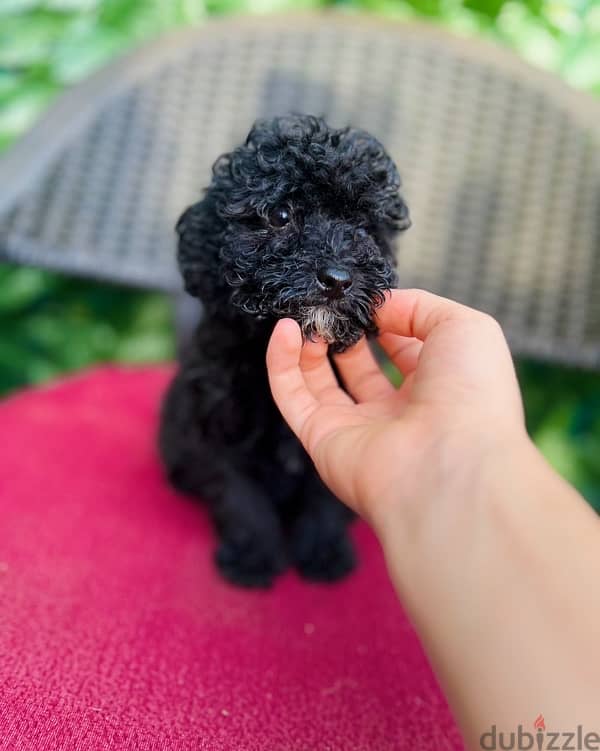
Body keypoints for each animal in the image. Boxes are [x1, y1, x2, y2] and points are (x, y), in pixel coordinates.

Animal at [159, 116, 410, 588]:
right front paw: (253, 559)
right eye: (280, 216)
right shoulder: (215, 423)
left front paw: (324, 553)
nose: (338, 278)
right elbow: (238, 493)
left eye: (365, 228)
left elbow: (325, 494)